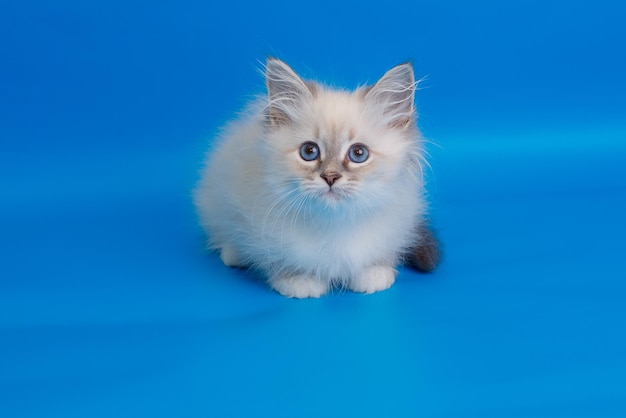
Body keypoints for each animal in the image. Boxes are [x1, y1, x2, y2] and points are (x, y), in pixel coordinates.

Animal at [195, 58, 438, 298]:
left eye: (358, 154)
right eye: (309, 151)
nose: (330, 177)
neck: (333, 224)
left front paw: (373, 273)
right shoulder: (253, 223)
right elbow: (276, 259)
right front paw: (299, 281)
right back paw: (234, 254)